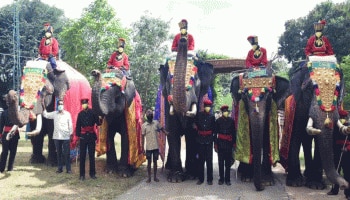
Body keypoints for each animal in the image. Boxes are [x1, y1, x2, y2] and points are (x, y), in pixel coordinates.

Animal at [160, 36, 215, 182]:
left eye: (194, 79)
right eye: (168, 81)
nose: (183, 38)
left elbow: (192, 133)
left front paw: (190, 175)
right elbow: (173, 132)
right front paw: (176, 178)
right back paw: (169, 168)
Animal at [280, 55, 350, 190]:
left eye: (337, 90)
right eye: (308, 89)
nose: (344, 186)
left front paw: (316, 186)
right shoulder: (298, 105)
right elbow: (295, 134)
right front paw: (295, 183)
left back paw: (309, 176)